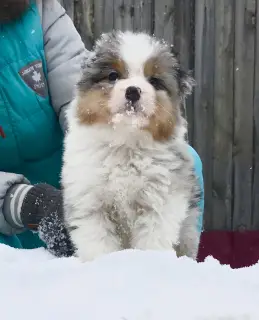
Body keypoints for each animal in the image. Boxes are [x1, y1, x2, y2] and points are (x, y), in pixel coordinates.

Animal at [62, 30, 202, 262]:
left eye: (154, 81)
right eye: (113, 76)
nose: (133, 91)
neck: (125, 142)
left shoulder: (159, 202)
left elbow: (152, 240)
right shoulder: (91, 203)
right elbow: (98, 243)